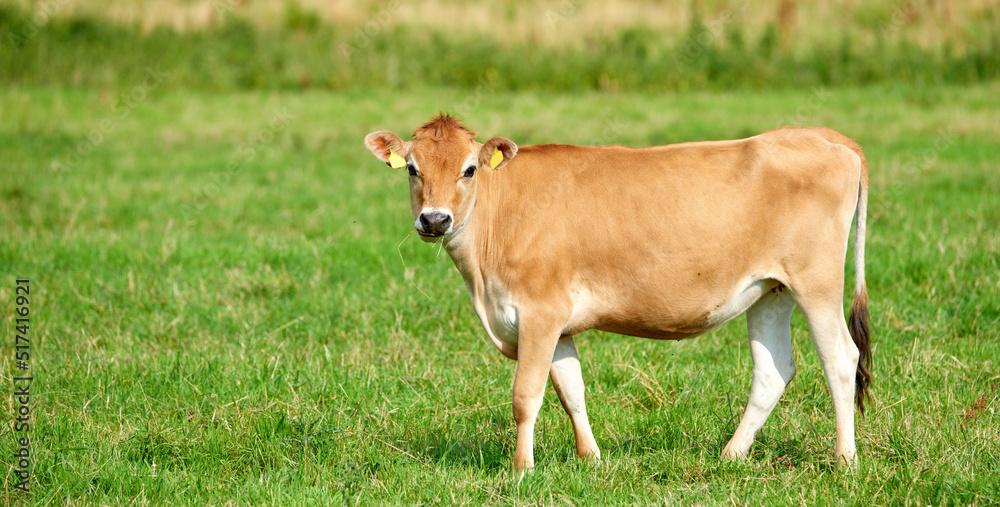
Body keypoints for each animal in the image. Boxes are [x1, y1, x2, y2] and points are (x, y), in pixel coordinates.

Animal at [364, 115, 872, 476]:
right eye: (413, 170)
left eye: (469, 170)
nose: (435, 220)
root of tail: (820, 135)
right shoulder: (556, 323)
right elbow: (571, 389)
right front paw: (591, 458)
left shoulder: (539, 311)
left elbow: (527, 394)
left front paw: (521, 469)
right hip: (772, 290)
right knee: (773, 370)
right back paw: (731, 455)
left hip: (817, 281)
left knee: (841, 358)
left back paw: (844, 461)